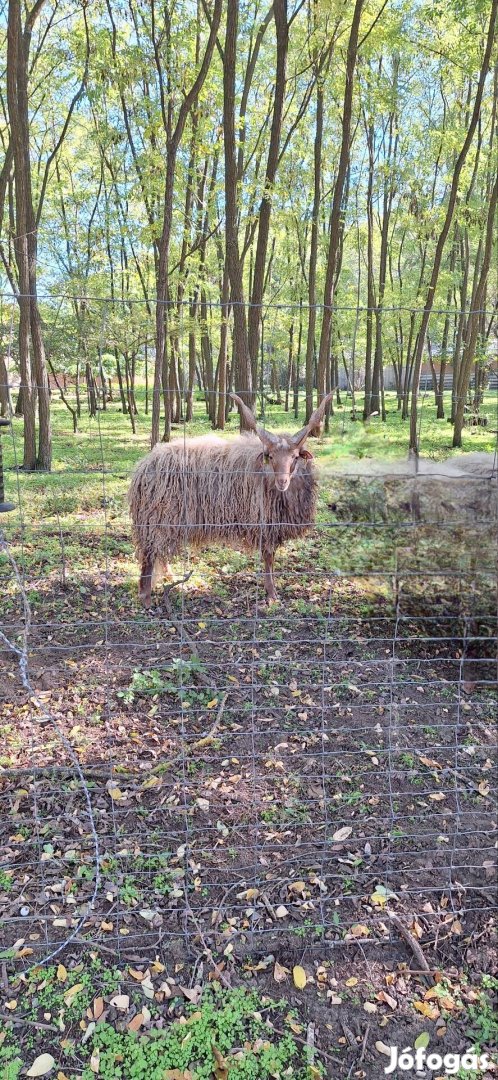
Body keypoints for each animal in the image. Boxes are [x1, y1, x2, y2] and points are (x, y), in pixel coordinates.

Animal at [126, 390, 334, 609]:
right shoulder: (264, 523)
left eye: (295, 457)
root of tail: (143, 467)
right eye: (270, 456)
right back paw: (146, 598)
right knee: (149, 555)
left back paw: (170, 579)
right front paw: (271, 595)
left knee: (159, 552)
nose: (282, 481)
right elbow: (268, 558)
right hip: (157, 518)